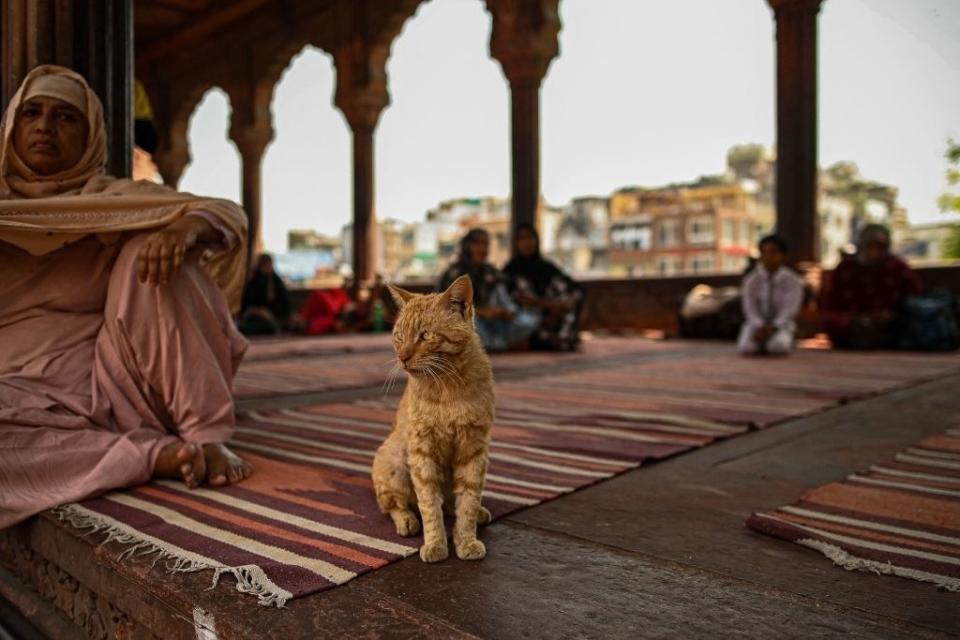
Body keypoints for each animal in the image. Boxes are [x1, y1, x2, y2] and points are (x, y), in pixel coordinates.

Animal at [372, 272, 496, 564]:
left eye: (425, 335)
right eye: (398, 336)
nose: (402, 357)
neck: (447, 386)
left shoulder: (474, 449)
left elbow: (468, 500)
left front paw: (466, 539)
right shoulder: (422, 451)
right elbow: (429, 504)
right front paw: (436, 544)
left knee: (452, 501)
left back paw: (478, 513)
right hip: (395, 461)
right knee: (394, 504)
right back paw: (406, 520)